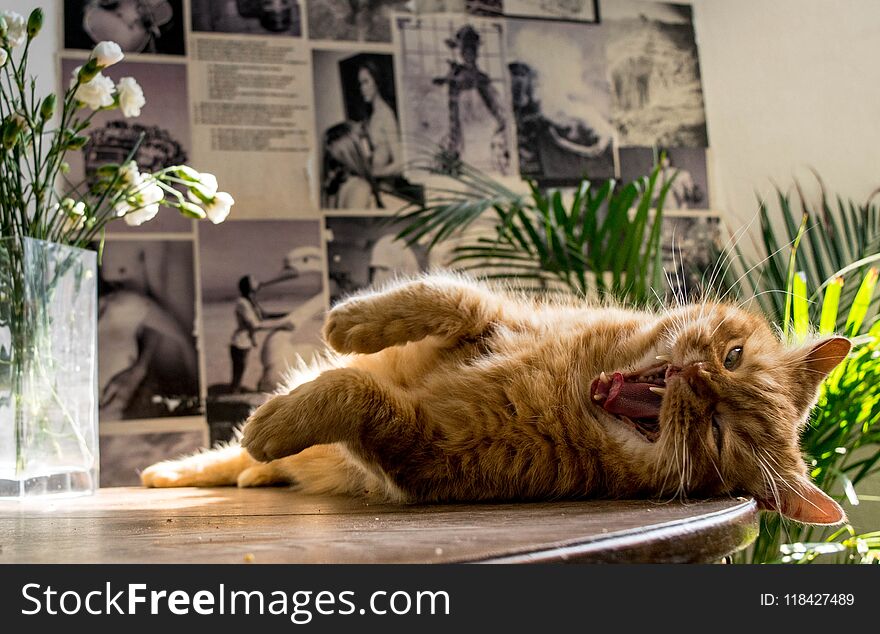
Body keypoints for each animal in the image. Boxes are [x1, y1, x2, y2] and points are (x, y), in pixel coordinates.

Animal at [141, 272, 848, 524]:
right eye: (732, 358)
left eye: (721, 432)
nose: (698, 380)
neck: (569, 386)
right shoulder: (494, 315)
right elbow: (443, 295)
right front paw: (350, 321)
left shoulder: (422, 455)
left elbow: (355, 393)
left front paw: (283, 417)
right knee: (221, 460)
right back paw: (174, 473)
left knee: (249, 454)